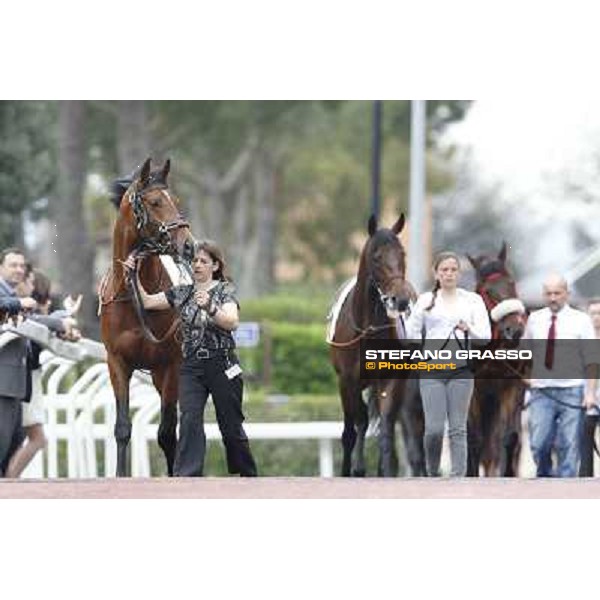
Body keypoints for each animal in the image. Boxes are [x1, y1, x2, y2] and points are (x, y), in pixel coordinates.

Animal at [99, 157, 195, 476]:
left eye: (176, 200)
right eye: (155, 202)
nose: (189, 245)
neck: (135, 298)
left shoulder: (172, 365)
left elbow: (167, 431)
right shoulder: (117, 362)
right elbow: (122, 427)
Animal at [328, 213, 418, 476]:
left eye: (402, 254)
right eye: (377, 257)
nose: (401, 300)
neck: (368, 328)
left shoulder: (391, 378)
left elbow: (386, 426)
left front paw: (386, 468)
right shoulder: (347, 380)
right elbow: (353, 426)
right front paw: (351, 469)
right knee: (359, 421)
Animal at [466, 241, 528, 476]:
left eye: (512, 283)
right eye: (487, 291)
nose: (515, 329)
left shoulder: (511, 385)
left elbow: (510, 436)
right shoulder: (474, 390)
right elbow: (473, 437)